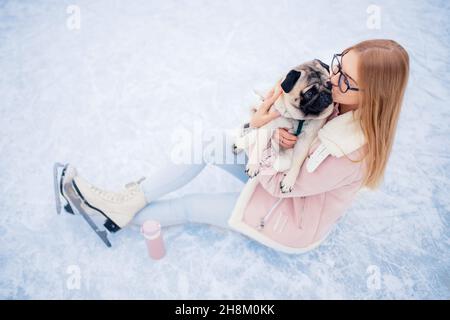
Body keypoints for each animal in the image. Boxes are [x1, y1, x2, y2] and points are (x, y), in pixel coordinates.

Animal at [234, 59, 332, 194]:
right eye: (310, 93)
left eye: (330, 86)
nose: (325, 95)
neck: (299, 118)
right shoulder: (269, 124)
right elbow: (258, 146)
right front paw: (253, 166)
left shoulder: (305, 140)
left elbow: (297, 163)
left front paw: (289, 181)